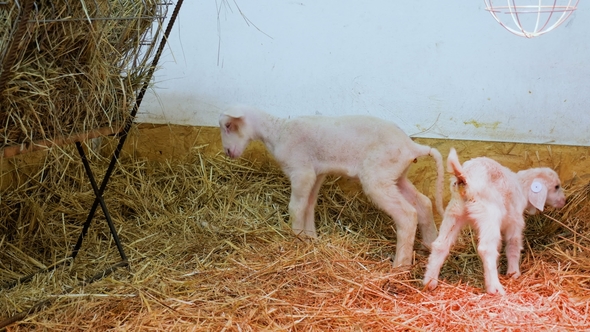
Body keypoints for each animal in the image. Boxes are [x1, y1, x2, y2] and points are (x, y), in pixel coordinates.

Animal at [220, 106, 446, 268]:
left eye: (229, 126)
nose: (227, 152)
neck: (277, 132)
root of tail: (411, 146)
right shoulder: (316, 173)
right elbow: (309, 205)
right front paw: (310, 238)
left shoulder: (301, 171)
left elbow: (296, 207)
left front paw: (296, 238)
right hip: (395, 176)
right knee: (424, 203)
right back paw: (430, 245)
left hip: (377, 176)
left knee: (407, 215)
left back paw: (400, 266)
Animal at [424, 148, 568, 296]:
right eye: (556, 186)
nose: (564, 201)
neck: (521, 187)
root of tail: (465, 177)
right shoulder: (515, 221)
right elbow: (513, 245)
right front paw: (513, 273)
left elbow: (498, 247)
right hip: (489, 215)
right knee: (486, 249)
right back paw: (495, 288)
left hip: (454, 212)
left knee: (440, 245)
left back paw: (429, 282)